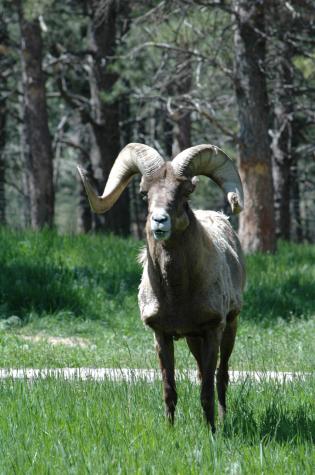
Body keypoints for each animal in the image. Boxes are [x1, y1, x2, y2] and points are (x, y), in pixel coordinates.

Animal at [78, 143, 246, 434]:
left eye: (184, 193)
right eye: (145, 193)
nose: (159, 221)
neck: (177, 293)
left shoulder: (213, 329)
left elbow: (207, 390)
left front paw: (212, 433)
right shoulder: (162, 336)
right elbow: (170, 390)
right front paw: (170, 431)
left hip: (229, 328)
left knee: (220, 376)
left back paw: (224, 420)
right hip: (193, 339)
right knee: (202, 372)